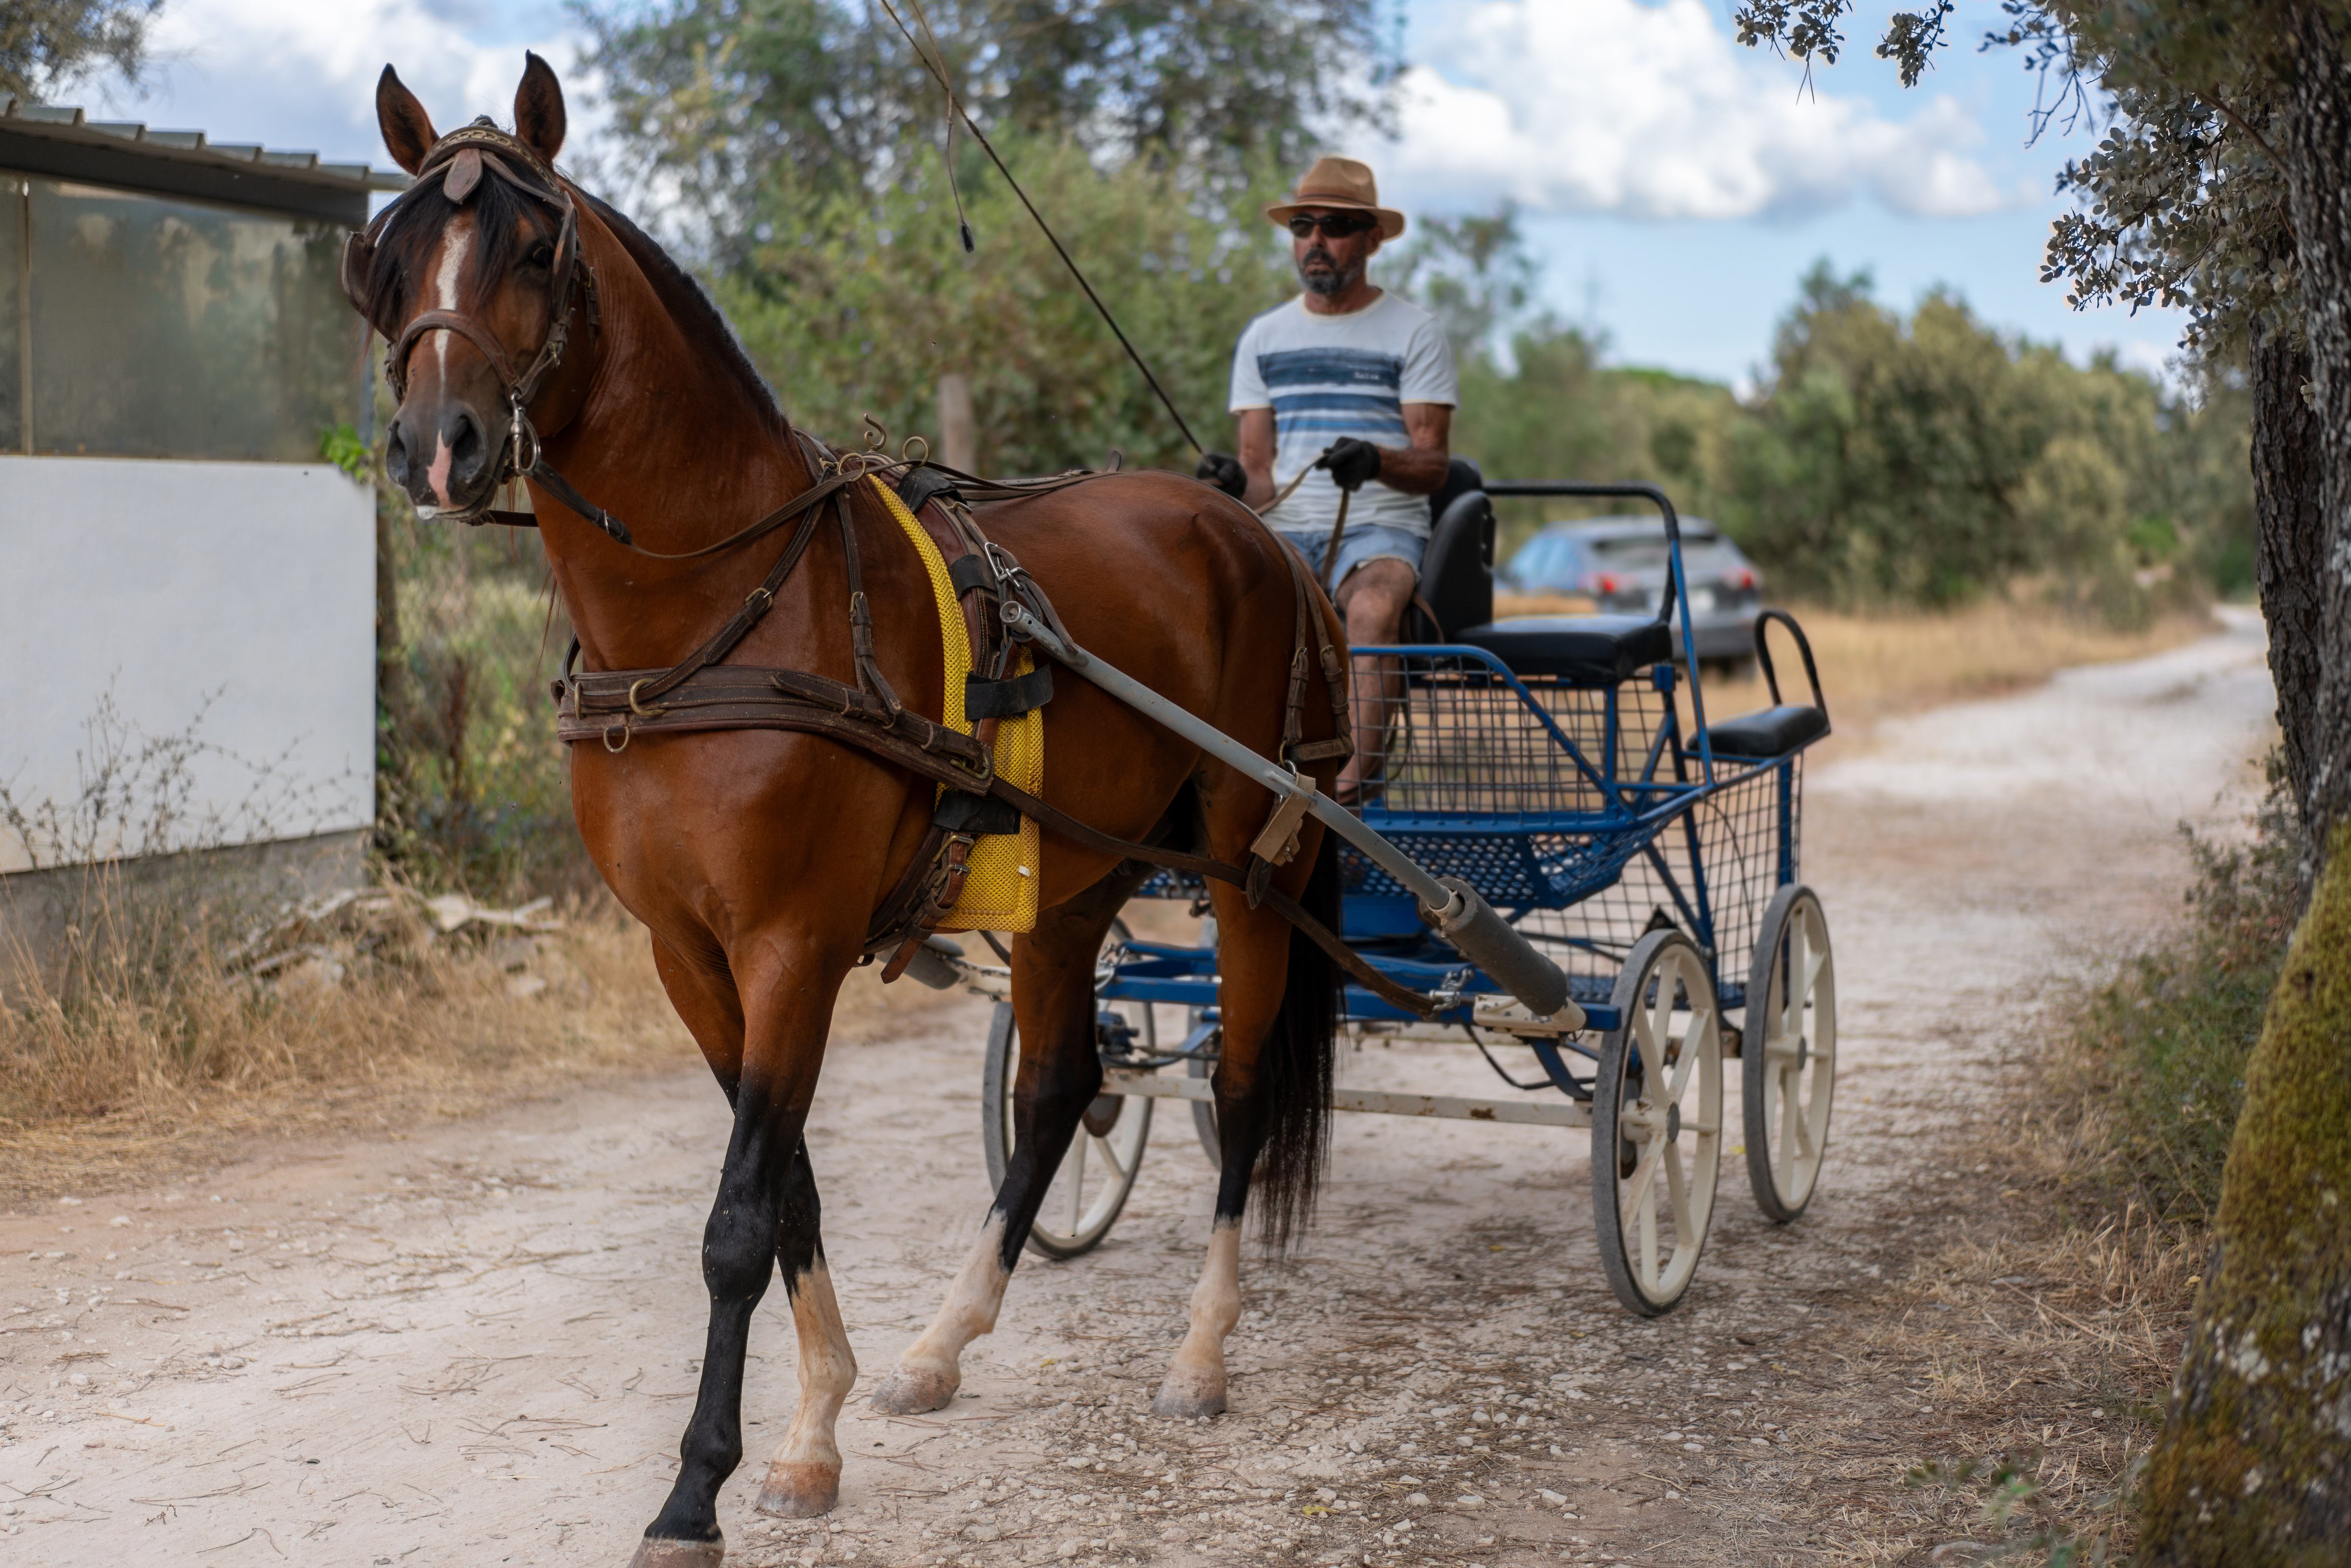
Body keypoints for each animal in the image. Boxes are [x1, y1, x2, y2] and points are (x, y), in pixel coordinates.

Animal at [354, 54, 1349, 1567]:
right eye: (394, 257)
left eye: (532, 249)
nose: (435, 445)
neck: (719, 612)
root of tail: (1256, 535)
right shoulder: (691, 956)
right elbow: (792, 1192)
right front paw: (818, 1426)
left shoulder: (792, 944)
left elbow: (737, 1217)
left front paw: (696, 1488)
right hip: (1074, 880)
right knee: (1059, 1086)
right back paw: (944, 1344)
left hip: (1248, 867)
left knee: (1235, 1087)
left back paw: (1200, 1351)